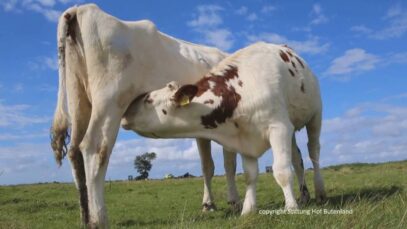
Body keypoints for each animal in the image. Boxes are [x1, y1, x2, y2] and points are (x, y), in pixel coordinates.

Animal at [51, 3, 242, 227]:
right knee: (94, 148)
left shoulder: (202, 127)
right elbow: (229, 164)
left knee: (74, 152)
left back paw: (85, 218)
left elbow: (207, 166)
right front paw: (234, 202)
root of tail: (80, 8)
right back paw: (99, 219)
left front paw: (208, 204)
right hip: (110, 101)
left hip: (79, 100)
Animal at [122, 41, 328, 215]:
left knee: (313, 151)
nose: (124, 113)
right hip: (291, 127)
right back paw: (304, 196)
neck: (239, 93)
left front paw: (291, 207)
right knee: (297, 158)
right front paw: (248, 210)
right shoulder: (246, 138)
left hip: (315, 115)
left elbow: (281, 170)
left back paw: (320, 193)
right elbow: (249, 175)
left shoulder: (279, 127)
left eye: (148, 100)